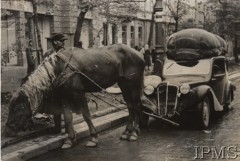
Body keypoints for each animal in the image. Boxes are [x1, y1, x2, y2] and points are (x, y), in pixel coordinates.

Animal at [4, 43, 144, 148]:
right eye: (10, 107)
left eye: (19, 108)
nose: (7, 131)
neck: (58, 69)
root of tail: (139, 54)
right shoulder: (65, 96)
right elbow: (68, 117)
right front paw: (70, 139)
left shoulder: (78, 93)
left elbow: (86, 115)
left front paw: (93, 137)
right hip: (124, 84)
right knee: (130, 106)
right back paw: (127, 132)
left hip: (134, 84)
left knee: (137, 106)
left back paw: (134, 133)